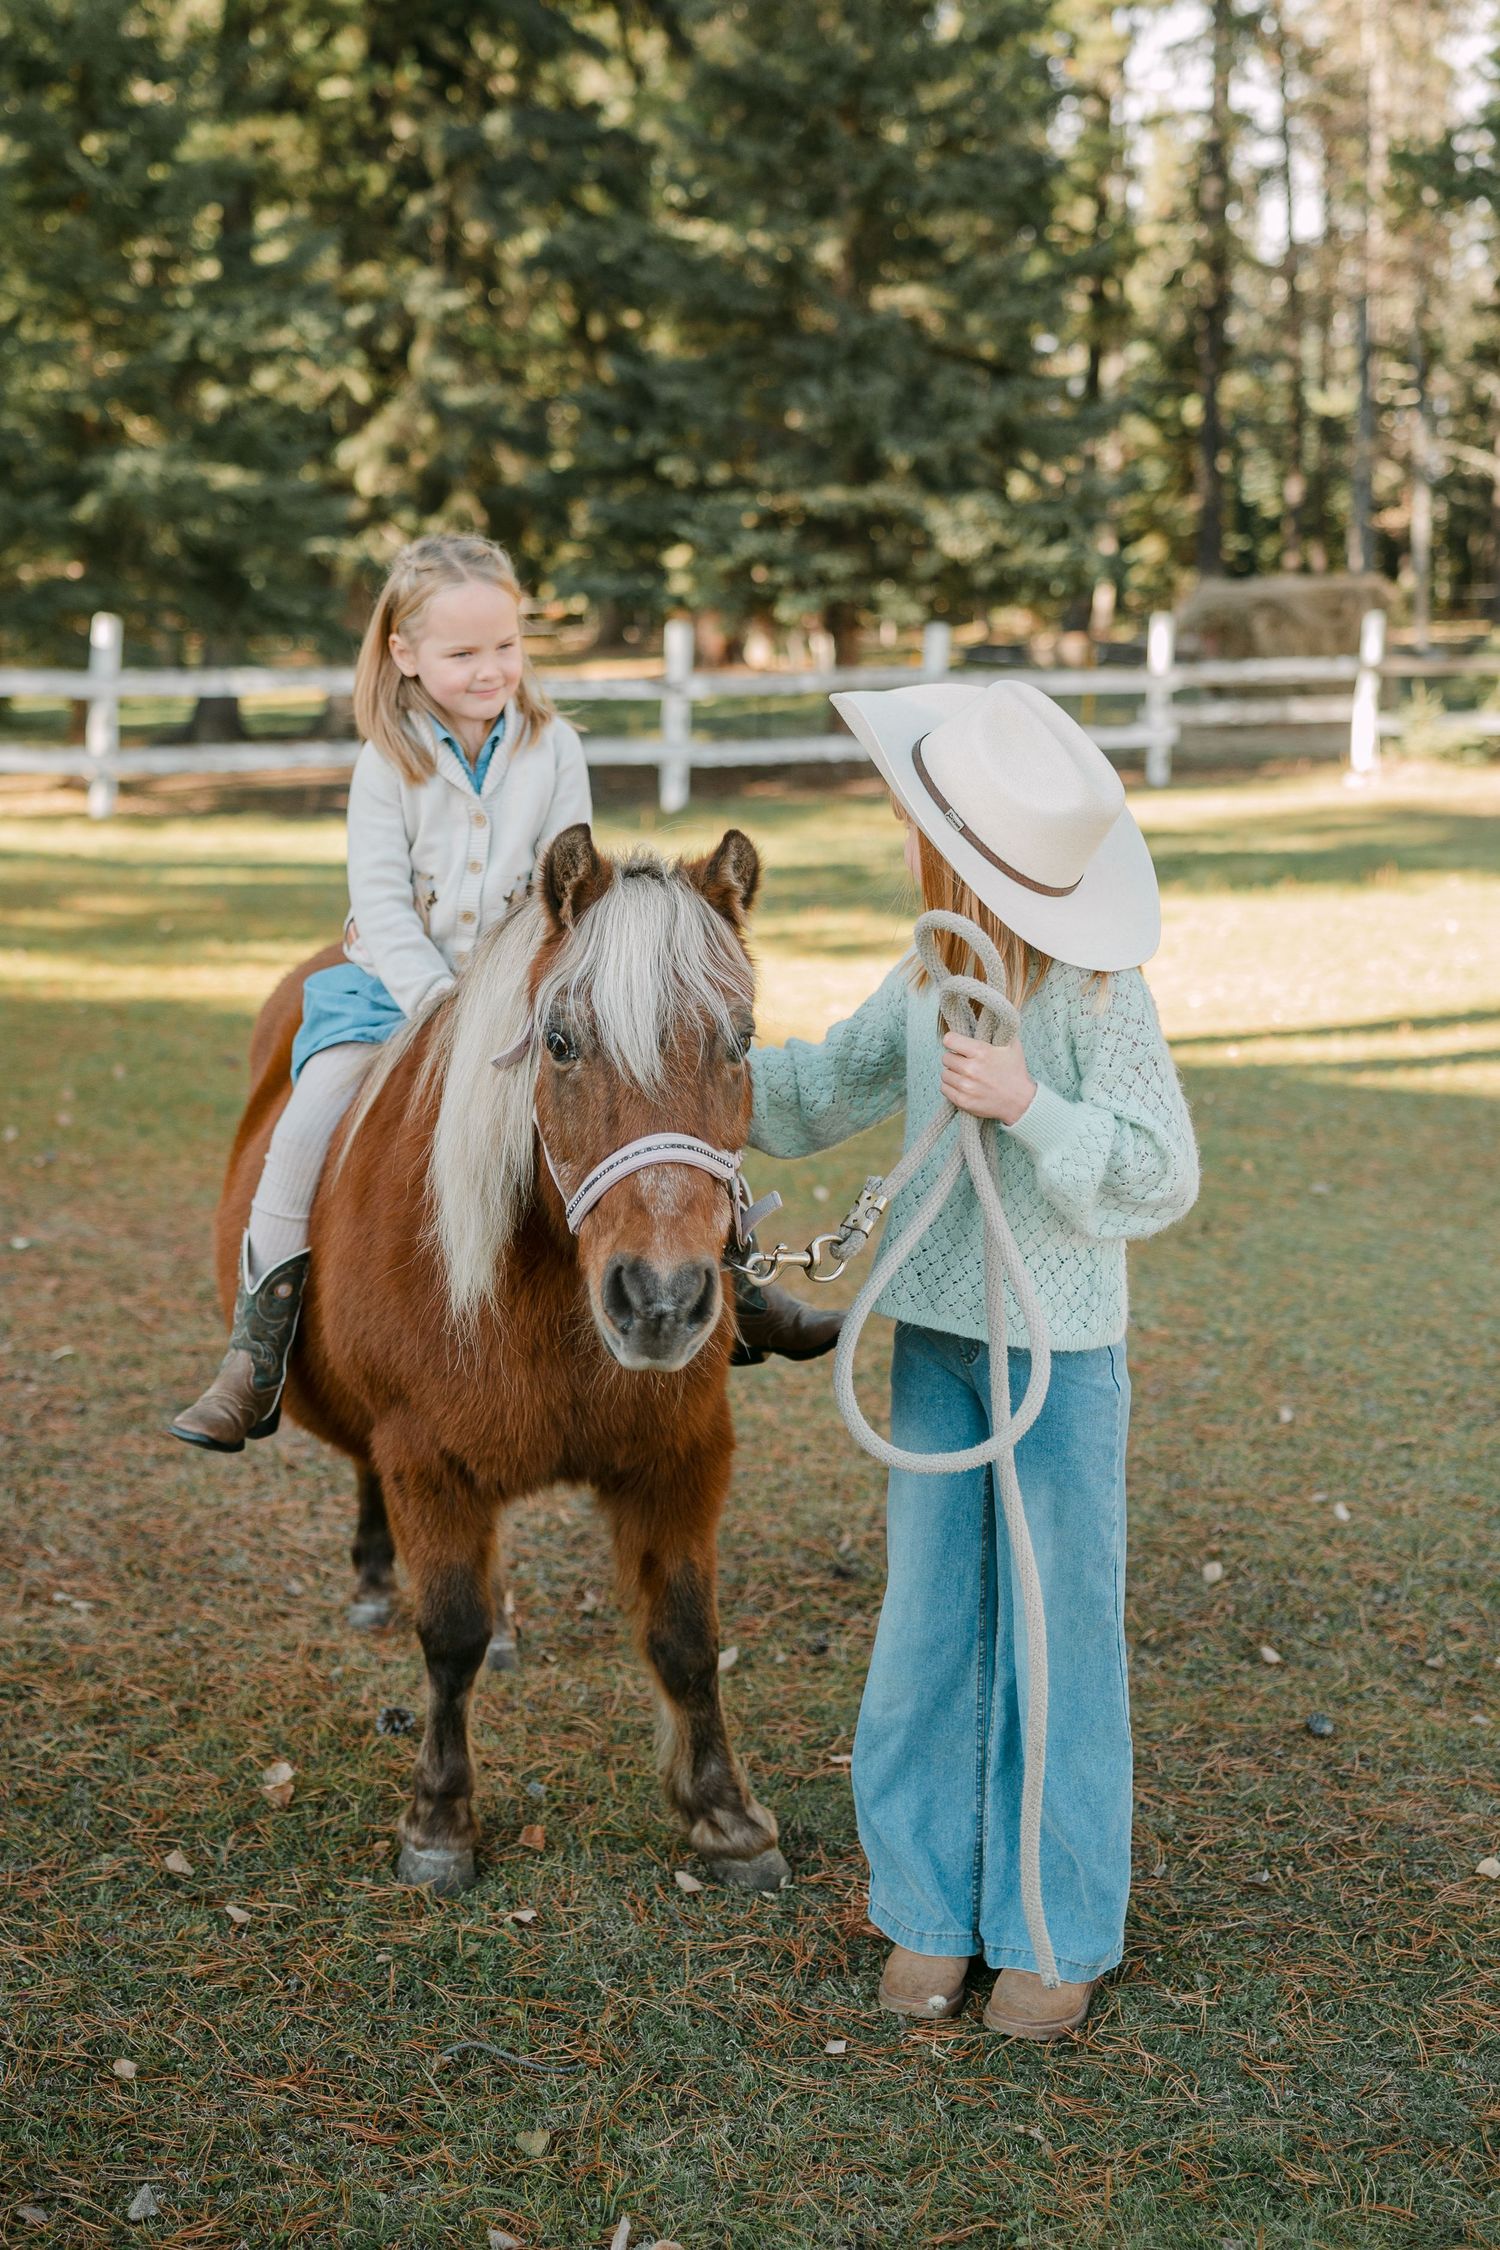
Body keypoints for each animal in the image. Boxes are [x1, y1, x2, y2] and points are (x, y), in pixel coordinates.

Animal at [209, 823, 787, 1897]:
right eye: (558, 1043)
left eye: (741, 1041)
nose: (661, 1301)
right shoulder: (423, 1459)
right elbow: (450, 1640)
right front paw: (440, 1822)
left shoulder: (682, 1458)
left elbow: (686, 1637)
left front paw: (726, 1817)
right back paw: (373, 1582)